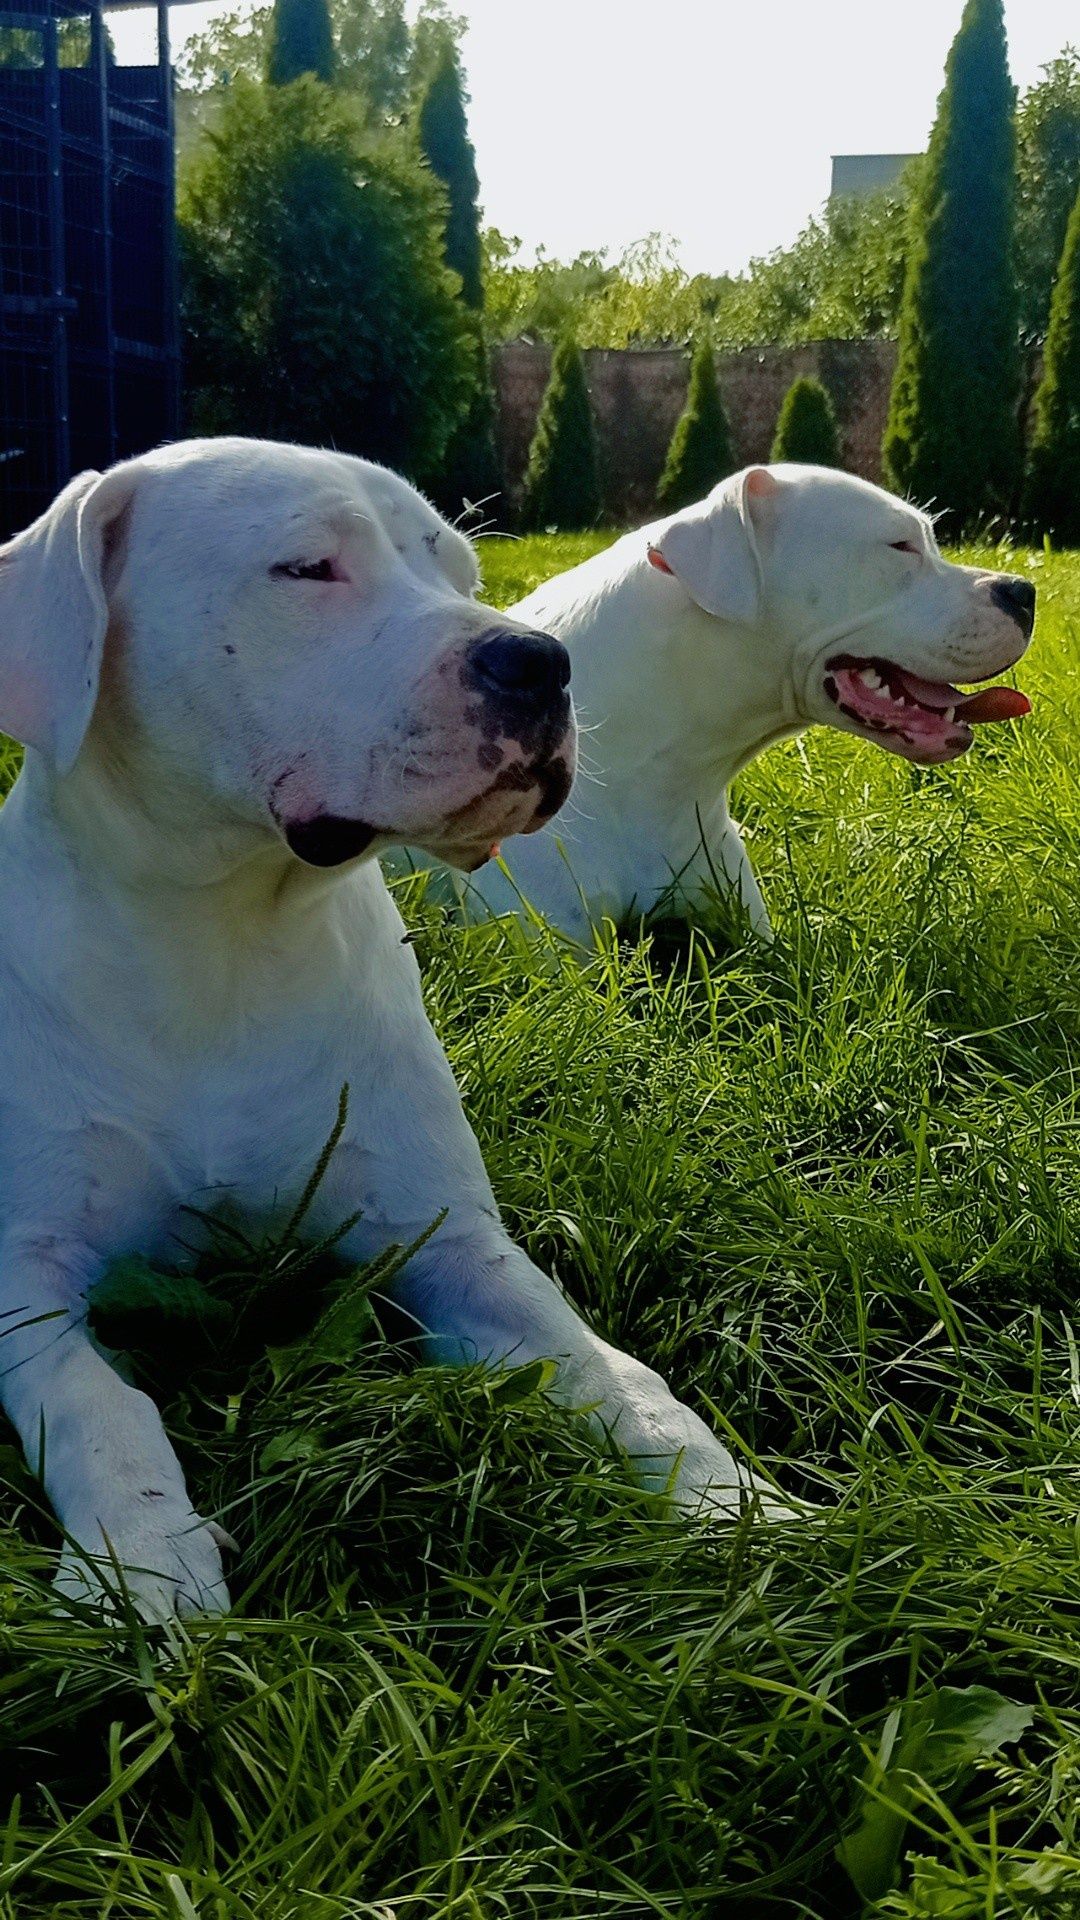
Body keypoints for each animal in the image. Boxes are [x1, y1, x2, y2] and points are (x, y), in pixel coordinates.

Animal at [0, 439, 791, 1620]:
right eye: (307, 568)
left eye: (460, 574)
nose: (540, 662)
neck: (223, 940)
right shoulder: (24, 1278)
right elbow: (102, 1405)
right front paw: (140, 1561)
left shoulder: (447, 1238)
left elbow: (609, 1367)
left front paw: (725, 1494)